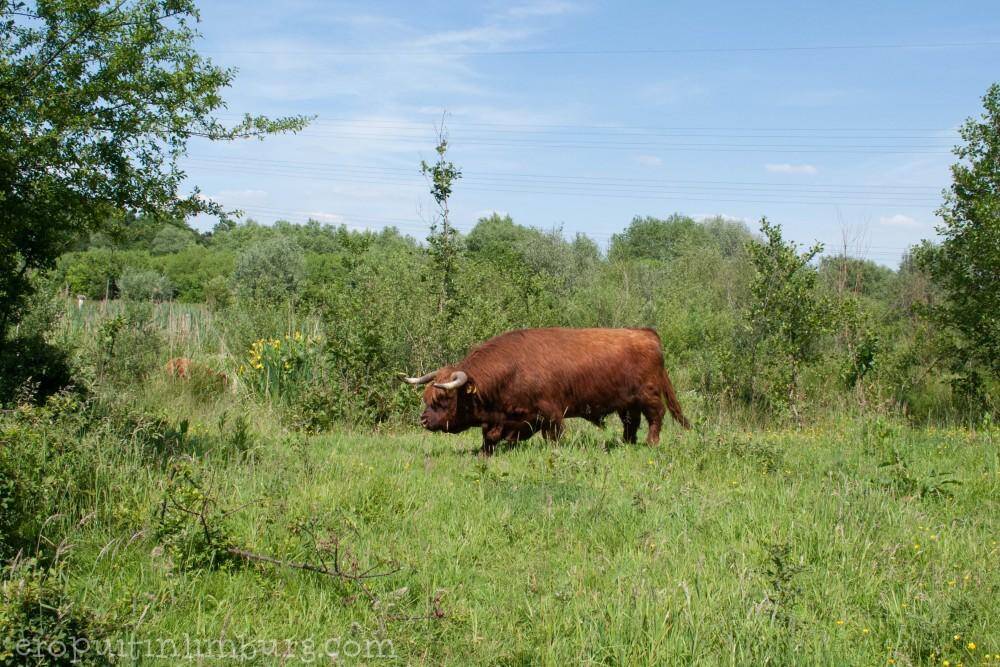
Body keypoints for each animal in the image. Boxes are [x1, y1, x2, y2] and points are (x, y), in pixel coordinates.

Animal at [399, 327, 690, 455]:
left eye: (443, 397)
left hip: (648, 396)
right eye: (426, 397)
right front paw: (484, 452)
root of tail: (646, 333)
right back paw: (625, 443)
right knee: (631, 423)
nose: (423, 420)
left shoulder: (551, 413)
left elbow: (553, 436)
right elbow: (491, 436)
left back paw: (651, 443)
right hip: (627, 404)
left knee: (656, 417)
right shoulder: (509, 418)